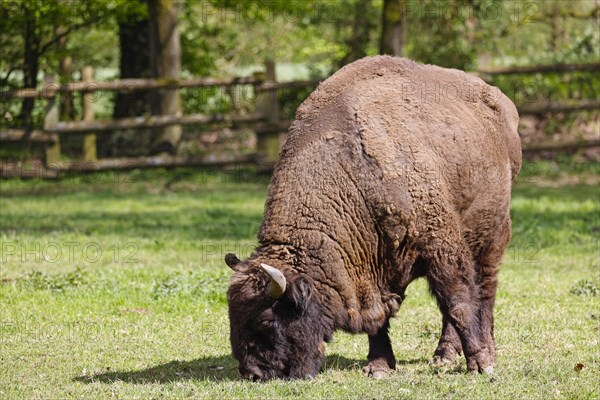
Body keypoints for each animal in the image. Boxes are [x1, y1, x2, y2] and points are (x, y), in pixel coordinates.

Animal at [225, 54, 520, 380]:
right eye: (232, 317)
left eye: (265, 319)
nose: (252, 373)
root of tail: (501, 102)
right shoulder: (372, 273)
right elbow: (380, 319)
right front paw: (378, 365)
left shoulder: (441, 247)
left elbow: (459, 303)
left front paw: (481, 363)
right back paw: (444, 356)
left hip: (492, 236)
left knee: (485, 290)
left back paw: (473, 352)